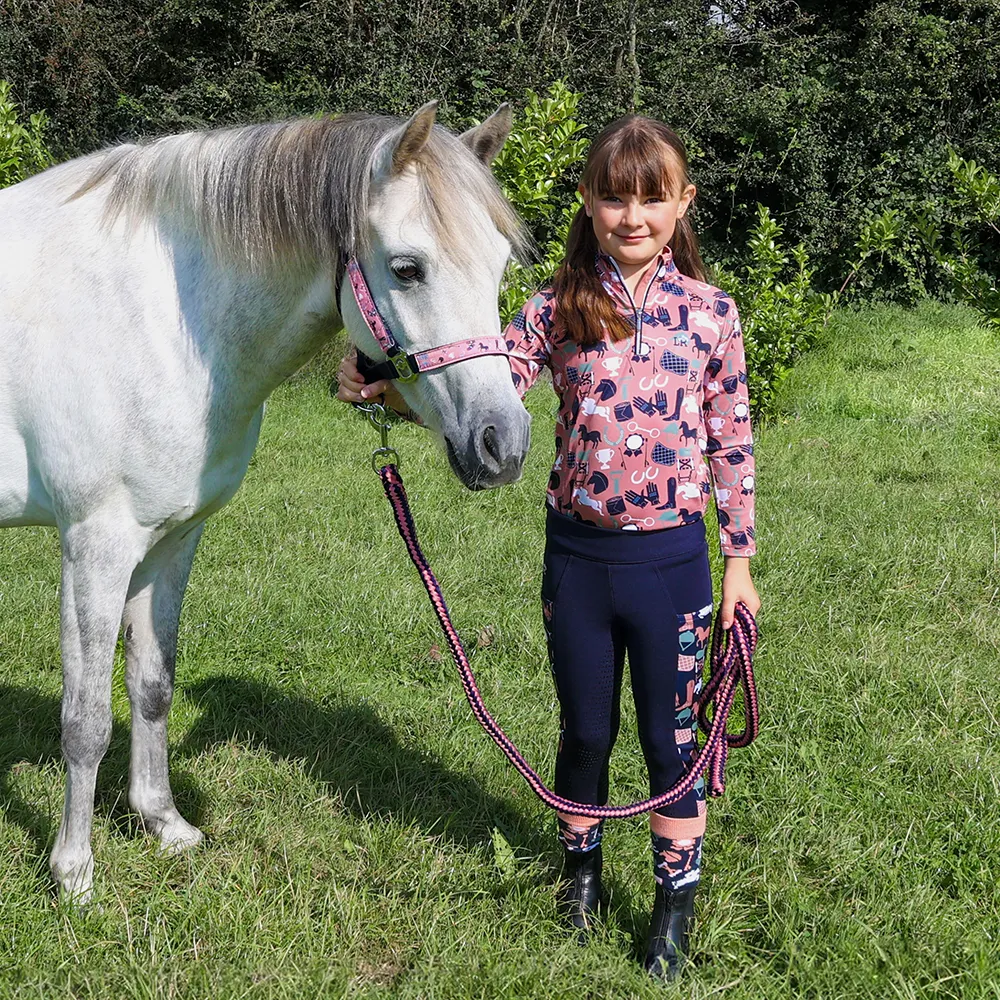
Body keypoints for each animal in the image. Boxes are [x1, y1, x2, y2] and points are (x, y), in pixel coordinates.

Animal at [0, 101, 532, 903]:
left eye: (500, 266)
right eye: (407, 268)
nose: (504, 444)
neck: (161, 319)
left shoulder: (170, 541)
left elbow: (152, 685)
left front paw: (165, 825)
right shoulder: (95, 546)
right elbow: (85, 721)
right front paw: (75, 874)